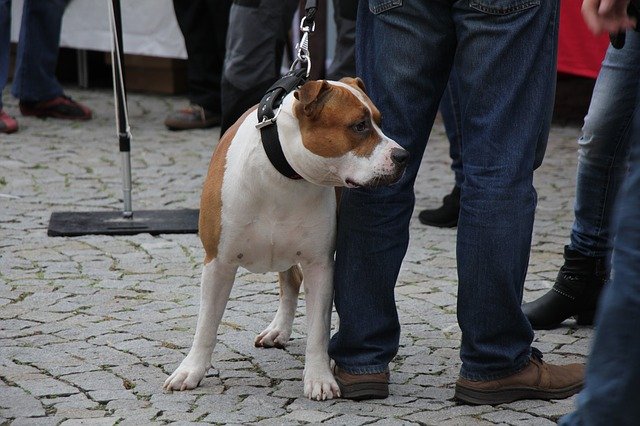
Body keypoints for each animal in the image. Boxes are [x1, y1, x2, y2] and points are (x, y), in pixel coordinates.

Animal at [162, 78, 408, 402]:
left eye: (380, 121)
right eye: (359, 126)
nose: (403, 156)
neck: (283, 173)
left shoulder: (320, 265)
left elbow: (317, 329)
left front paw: (319, 378)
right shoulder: (218, 262)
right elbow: (206, 325)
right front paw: (191, 370)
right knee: (290, 281)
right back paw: (278, 330)